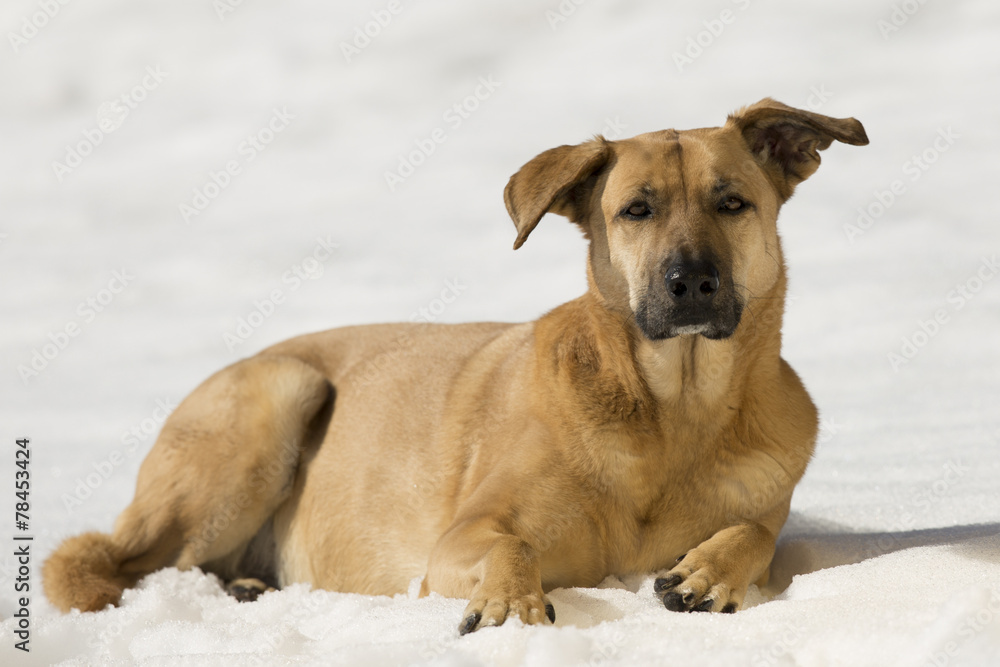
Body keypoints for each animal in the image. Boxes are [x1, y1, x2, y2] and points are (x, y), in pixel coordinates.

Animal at [43, 98, 868, 632]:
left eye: (732, 202)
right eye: (636, 209)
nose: (689, 281)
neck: (673, 414)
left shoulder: (761, 501)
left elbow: (756, 532)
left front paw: (709, 571)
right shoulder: (459, 537)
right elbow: (512, 541)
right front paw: (509, 602)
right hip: (280, 394)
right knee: (124, 566)